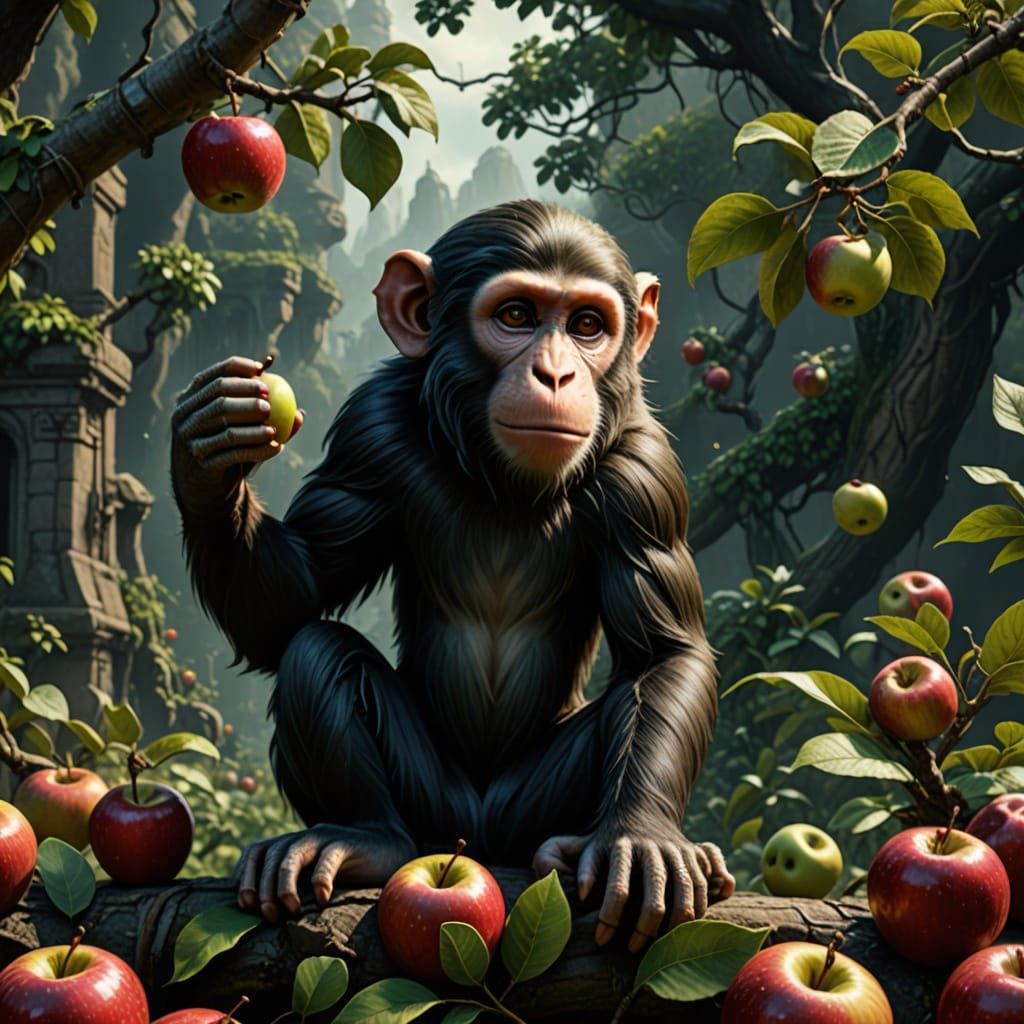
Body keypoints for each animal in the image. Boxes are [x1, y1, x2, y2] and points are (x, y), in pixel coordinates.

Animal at [170, 200, 734, 953]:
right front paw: (208, 451)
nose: (556, 375)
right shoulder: (370, 429)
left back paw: (582, 850)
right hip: (432, 806)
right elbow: (294, 599)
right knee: (318, 650)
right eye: (517, 316)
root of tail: (478, 841)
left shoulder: (645, 475)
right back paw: (364, 837)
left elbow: (662, 652)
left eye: (587, 326)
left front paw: (642, 838)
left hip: (529, 805)